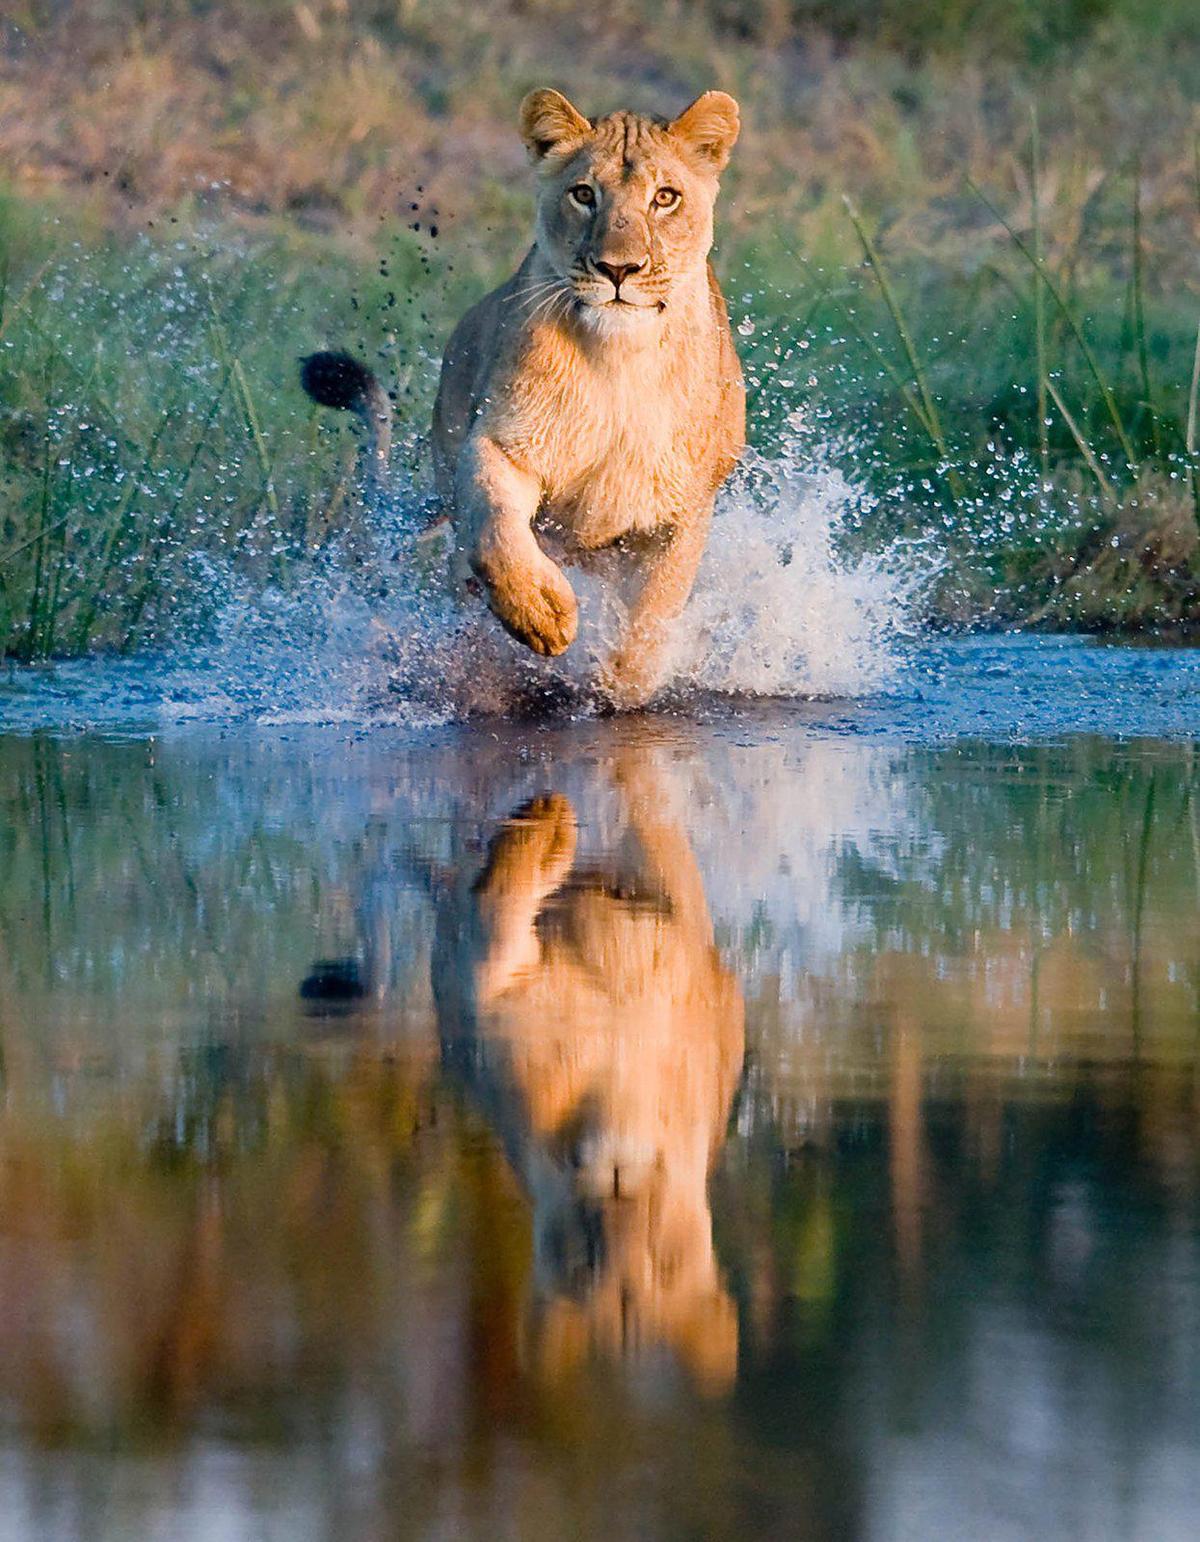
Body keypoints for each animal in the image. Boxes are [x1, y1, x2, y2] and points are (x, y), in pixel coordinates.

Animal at [302, 88, 745, 705]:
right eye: (583, 194)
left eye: (665, 198)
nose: (619, 269)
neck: (621, 359)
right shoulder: (500, 443)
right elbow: (495, 531)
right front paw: (540, 615)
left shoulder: (683, 507)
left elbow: (652, 614)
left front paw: (619, 688)